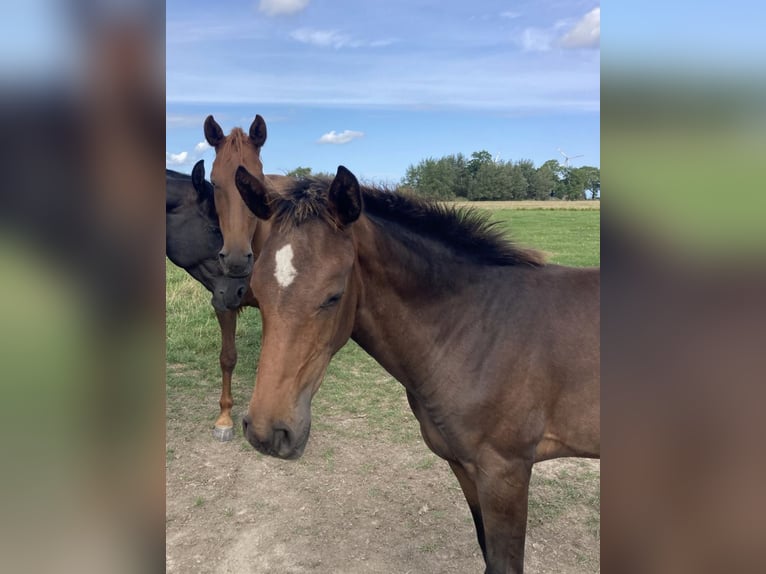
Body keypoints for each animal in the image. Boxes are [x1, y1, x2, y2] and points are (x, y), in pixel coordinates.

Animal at [234, 166, 600, 574]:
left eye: (333, 296)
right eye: (255, 290)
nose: (267, 432)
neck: (477, 327)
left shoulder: (507, 472)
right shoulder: (464, 466)